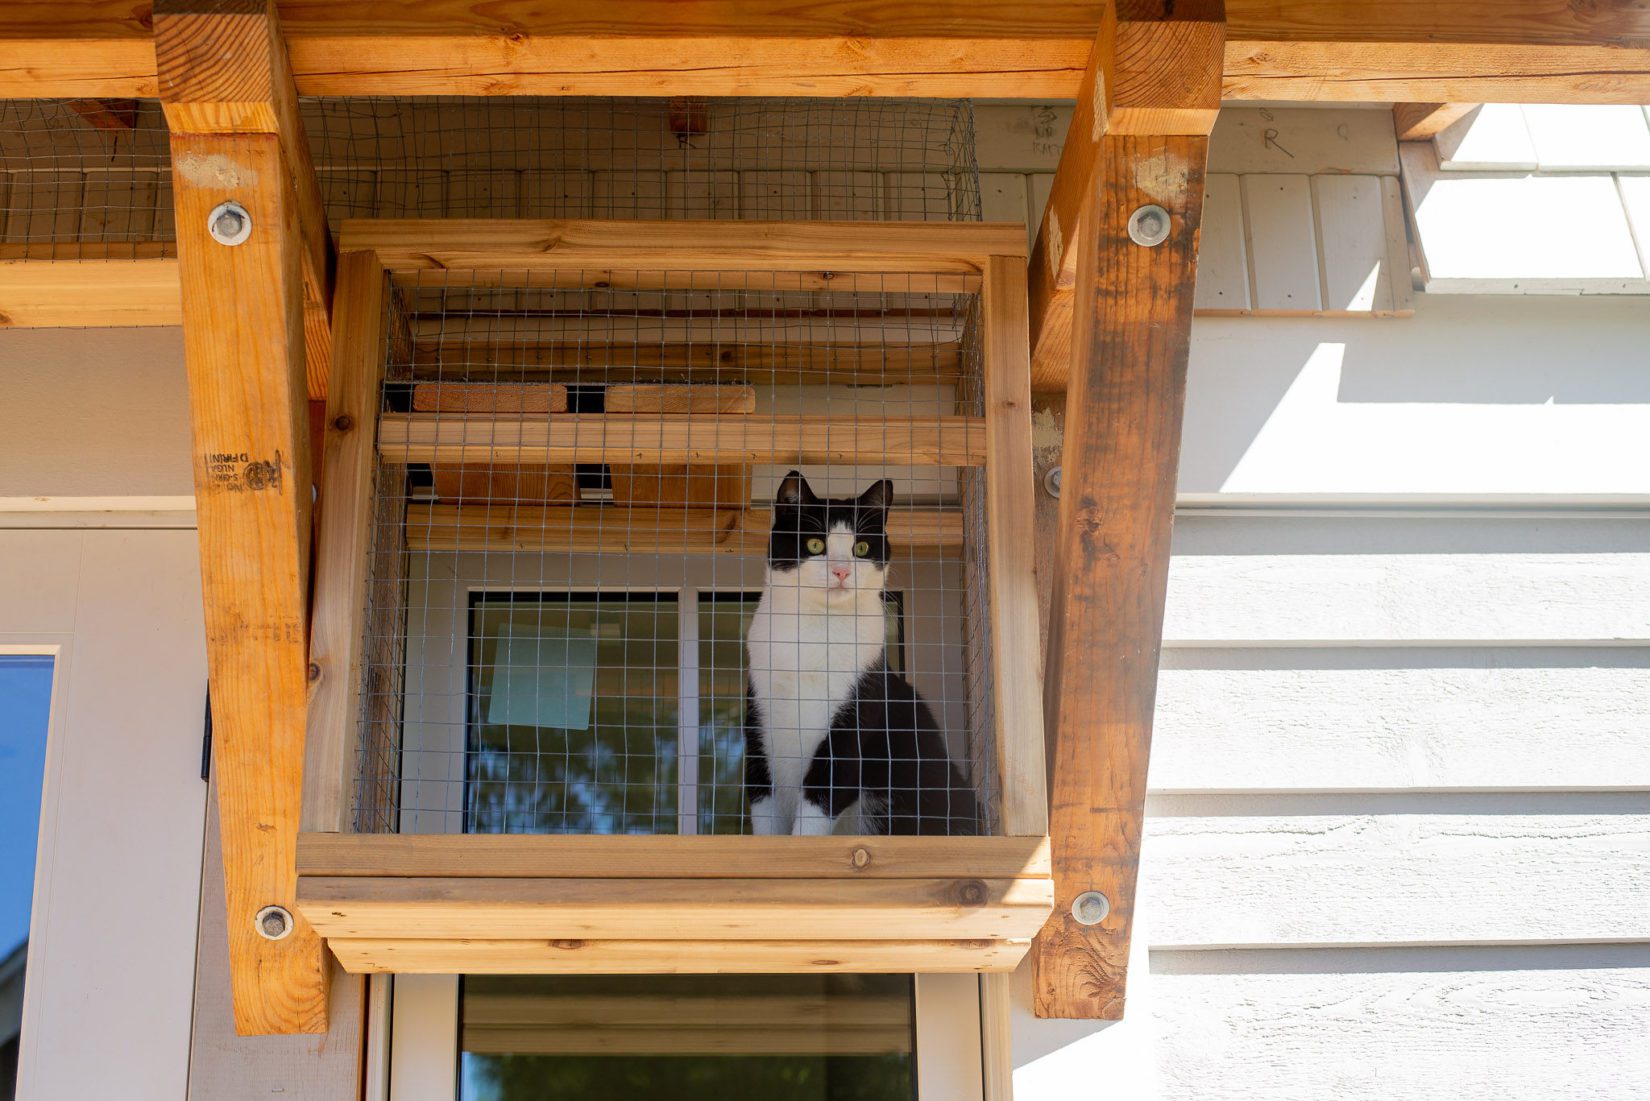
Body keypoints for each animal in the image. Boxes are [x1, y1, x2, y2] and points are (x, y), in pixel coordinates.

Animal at [749, 468, 976, 835]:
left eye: (861, 547)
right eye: (815, 544)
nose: (842, 571)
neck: (817, 632)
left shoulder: (853, 718)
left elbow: (818, 804)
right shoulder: (761, 722)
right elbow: (765, 813)